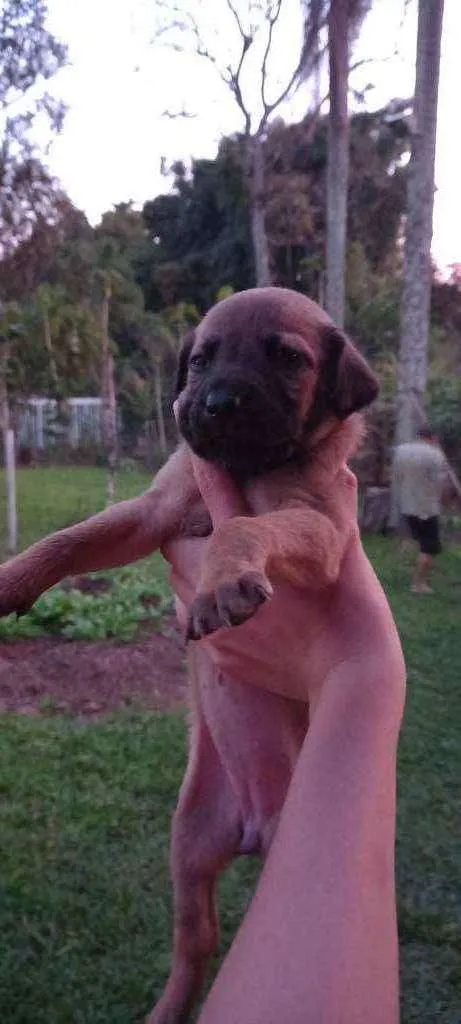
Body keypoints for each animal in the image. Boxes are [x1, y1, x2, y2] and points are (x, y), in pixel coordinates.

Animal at [0, 288, 403, 1023]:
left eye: (288, 359)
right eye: (200, 359)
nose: (214, 404)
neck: (250, 465)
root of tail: (253, 825)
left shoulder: (321, 528)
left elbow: (244, 524)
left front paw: (223, 581)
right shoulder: (153, 509)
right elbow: (69, 539)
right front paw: (10, 578)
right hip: (186, 843)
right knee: (197, 940)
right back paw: (165, 1012)